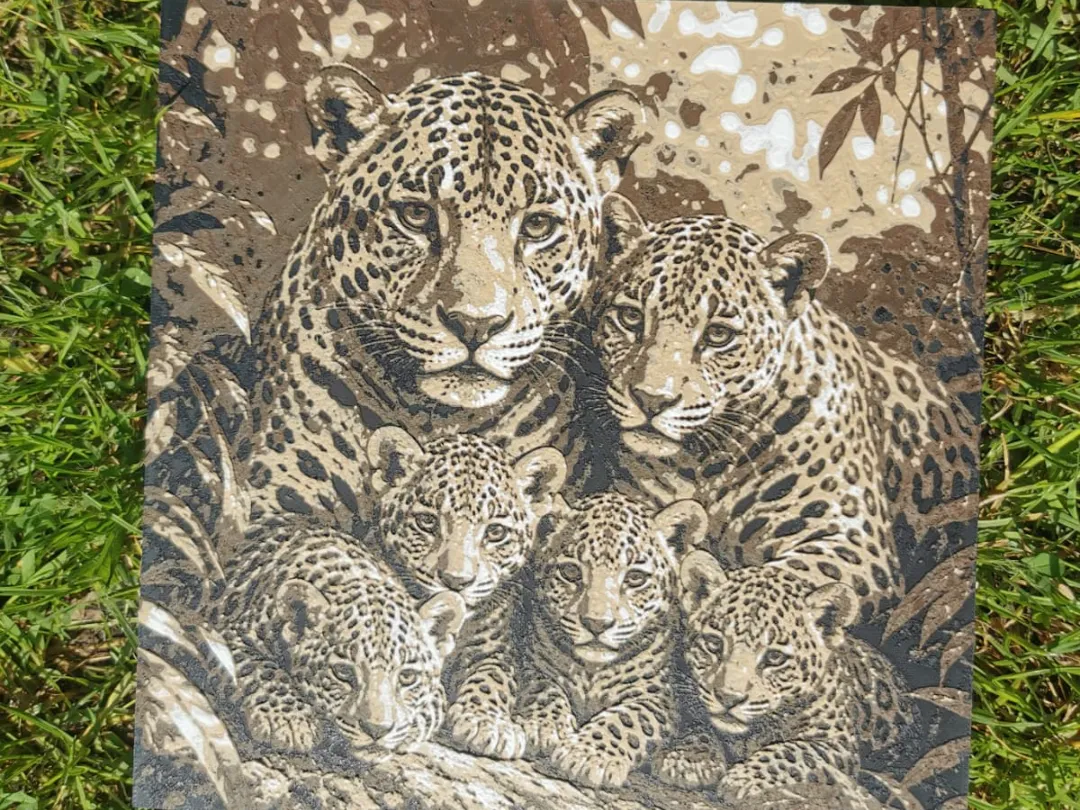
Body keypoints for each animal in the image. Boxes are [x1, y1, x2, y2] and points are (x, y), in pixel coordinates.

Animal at [215, 525, 466, 757]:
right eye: (343, 673)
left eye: (407, 677)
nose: (377, 730)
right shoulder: (225, 633)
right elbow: (262, 669)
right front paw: (291, 721)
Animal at [365, 425, 567, 760]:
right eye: (427, 521)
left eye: (496, 532)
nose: (457, 581)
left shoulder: (496, 649)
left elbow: (494, 677)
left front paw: (488, 724)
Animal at [516, 491, 708, 788]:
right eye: (570, 572)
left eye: (636, 578)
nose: (597, 624)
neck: (592, 672)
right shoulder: (534, 663)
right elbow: (543, 690)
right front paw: (545, 725)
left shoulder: (656, 698)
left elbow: (625, 720)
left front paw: (587, 755)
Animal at [593, 209, 979, 615]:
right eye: (630, 317)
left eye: (718, 335)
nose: (651, 400)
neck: (704, 462)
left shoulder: (851, 541)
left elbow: (782, 582)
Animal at [657, 550, 911, 800]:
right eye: (714, 643)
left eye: (775, 658)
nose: (728, 698)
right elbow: (698, 724)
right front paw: (688, 758)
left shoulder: (836, 743)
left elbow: (793, 751)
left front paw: (744, 779)